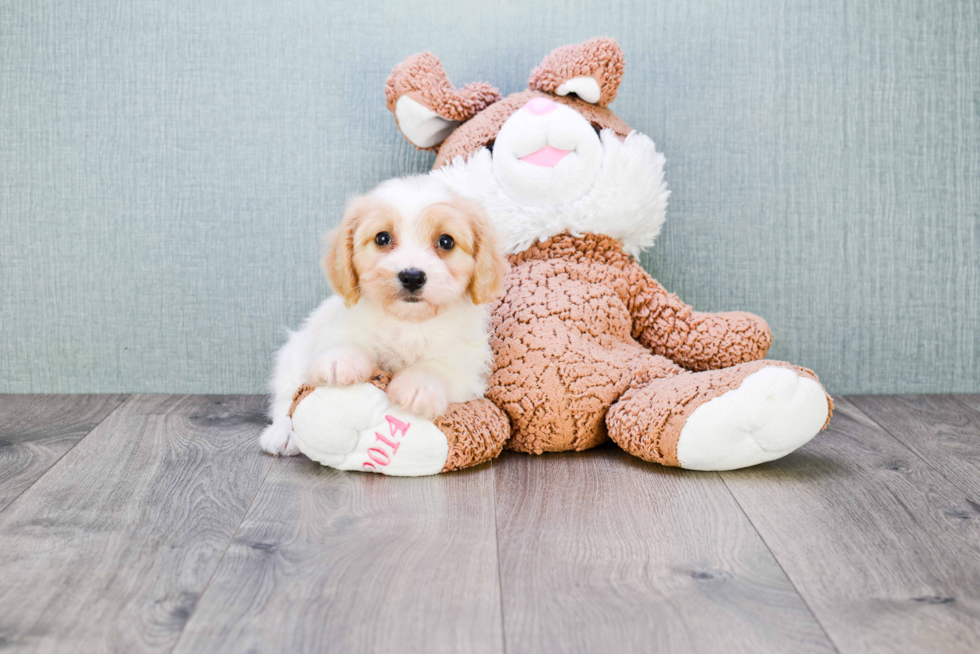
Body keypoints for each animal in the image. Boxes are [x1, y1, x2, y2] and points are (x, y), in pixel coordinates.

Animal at [256, 177, 510, 458]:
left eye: (446, 242)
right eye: (382, 238)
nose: (412, 276)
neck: (407, 323)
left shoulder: (466, 366)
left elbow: (439, 367)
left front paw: (417, 386)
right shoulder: (334, 327)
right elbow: (345, 340)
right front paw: (340, 360)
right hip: (292, 357)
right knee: (285, 401)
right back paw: (283, 434)